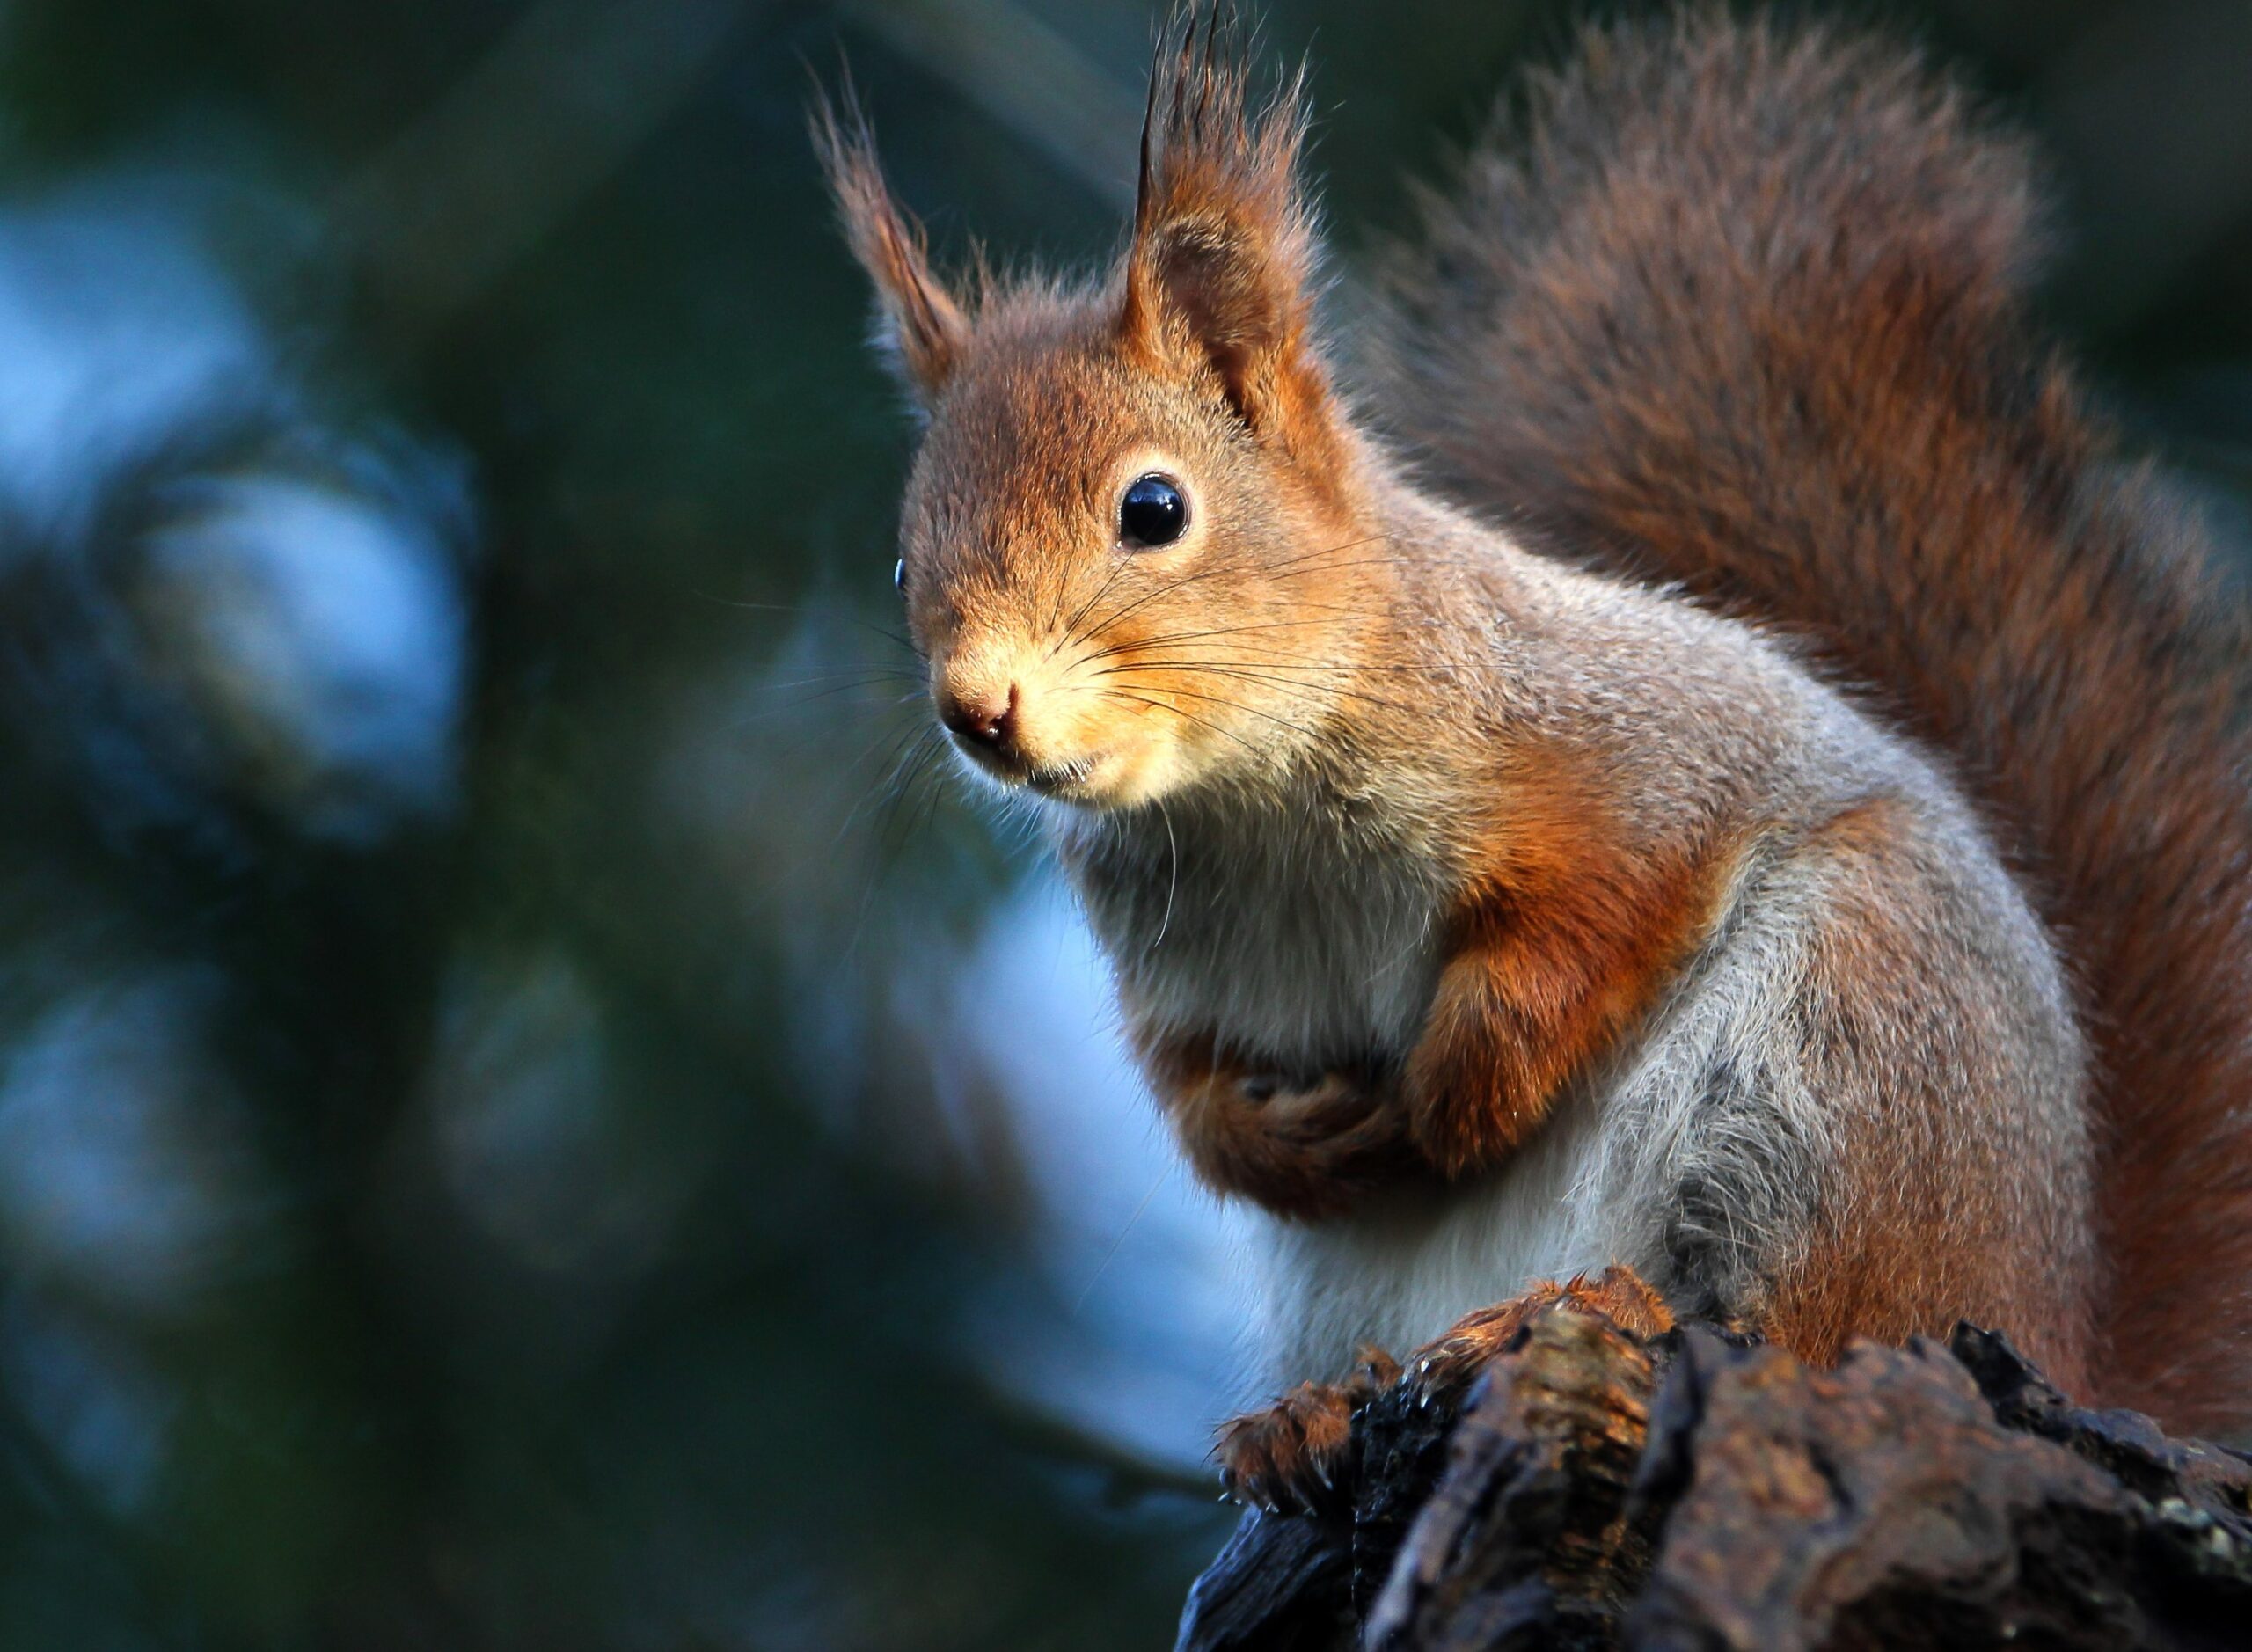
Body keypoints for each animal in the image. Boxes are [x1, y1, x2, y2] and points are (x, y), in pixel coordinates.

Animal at [819, 3, 2252, 1512]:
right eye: (906, 557)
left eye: (1154, 508)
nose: (979, 709)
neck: (1242, 799)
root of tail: (2056, 1315)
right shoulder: (1173, 966)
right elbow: (1188, 1084)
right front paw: (1287, 1140)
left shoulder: (1627, 758)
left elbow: (1594, 922)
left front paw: (1463, 1094)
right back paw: (1306, 1414)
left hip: (1856, 1053)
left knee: (1816, 1318)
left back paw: (1600, 1304)